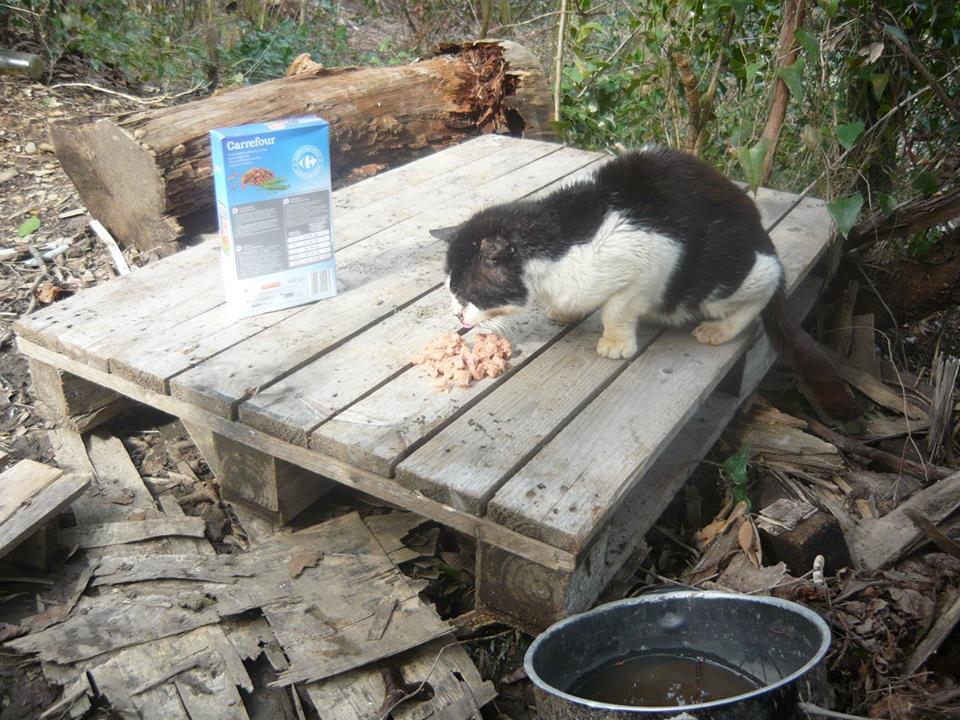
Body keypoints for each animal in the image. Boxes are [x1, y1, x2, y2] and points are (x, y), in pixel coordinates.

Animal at [438, 144, 860, 420]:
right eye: (451, 293)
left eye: (468, 293)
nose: (456, 315)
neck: (562, 242)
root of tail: (761, 233)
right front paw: (564, 310)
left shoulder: (651, 259)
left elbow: (618, 308)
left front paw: (615, 342)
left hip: (723, 274)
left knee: (768, 285)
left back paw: (720, 329)